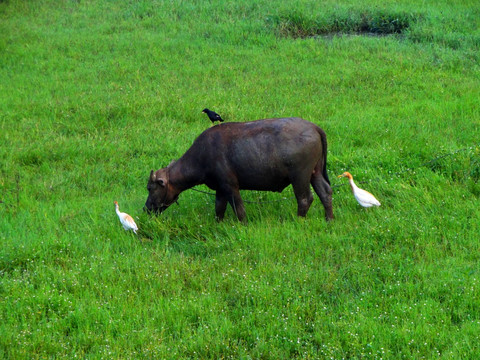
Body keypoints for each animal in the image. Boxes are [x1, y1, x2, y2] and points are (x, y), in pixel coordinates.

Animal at [145, 116, 334, 221]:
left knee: (305, 199)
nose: (146, 208)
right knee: (325, 192)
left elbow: (239, 209)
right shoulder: (220, 188)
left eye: (150, 188)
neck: (203, 154)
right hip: (315, 172)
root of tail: (314, 128)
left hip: (300, 176)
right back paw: (329, 219)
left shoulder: (230, 186)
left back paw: (299, 219)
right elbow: (219, 208)